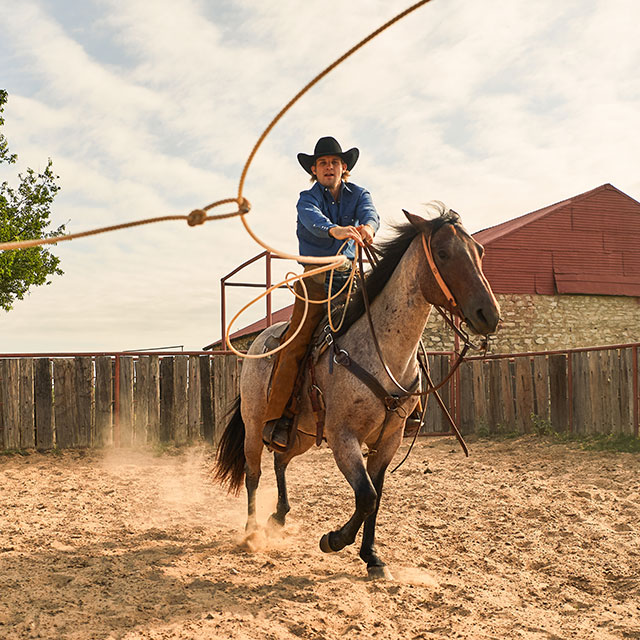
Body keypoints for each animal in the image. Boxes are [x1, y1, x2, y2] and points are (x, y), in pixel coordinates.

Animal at [214, 205, 501, 579]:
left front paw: (372, 557)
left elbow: (376, 496)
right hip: (254, 423)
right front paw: (333, 540)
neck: (382, 353)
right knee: (253, 473)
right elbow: (365, 495)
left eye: (479, 252)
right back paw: (251, 533)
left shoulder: (389, 439)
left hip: (301, 433)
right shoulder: (343, 437)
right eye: (442, 253)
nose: (489, 314)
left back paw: (279, 515)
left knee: (280, 460)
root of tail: (260, 342)